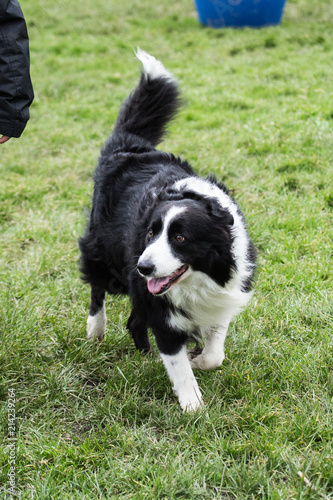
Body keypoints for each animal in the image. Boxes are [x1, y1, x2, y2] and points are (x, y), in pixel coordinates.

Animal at [79, 49, 255, 410]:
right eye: (150, 233)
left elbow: (215, 349)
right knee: (97, 285)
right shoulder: (161, 308)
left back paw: (145, 356)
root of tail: (128, 146)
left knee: (134, 320)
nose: (143, 266)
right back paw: (96, 329)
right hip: (106, 254)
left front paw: (200, 358)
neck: (198, 278)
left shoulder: (222, 291)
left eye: (180, 238)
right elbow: (177, 361)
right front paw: (193, 407)